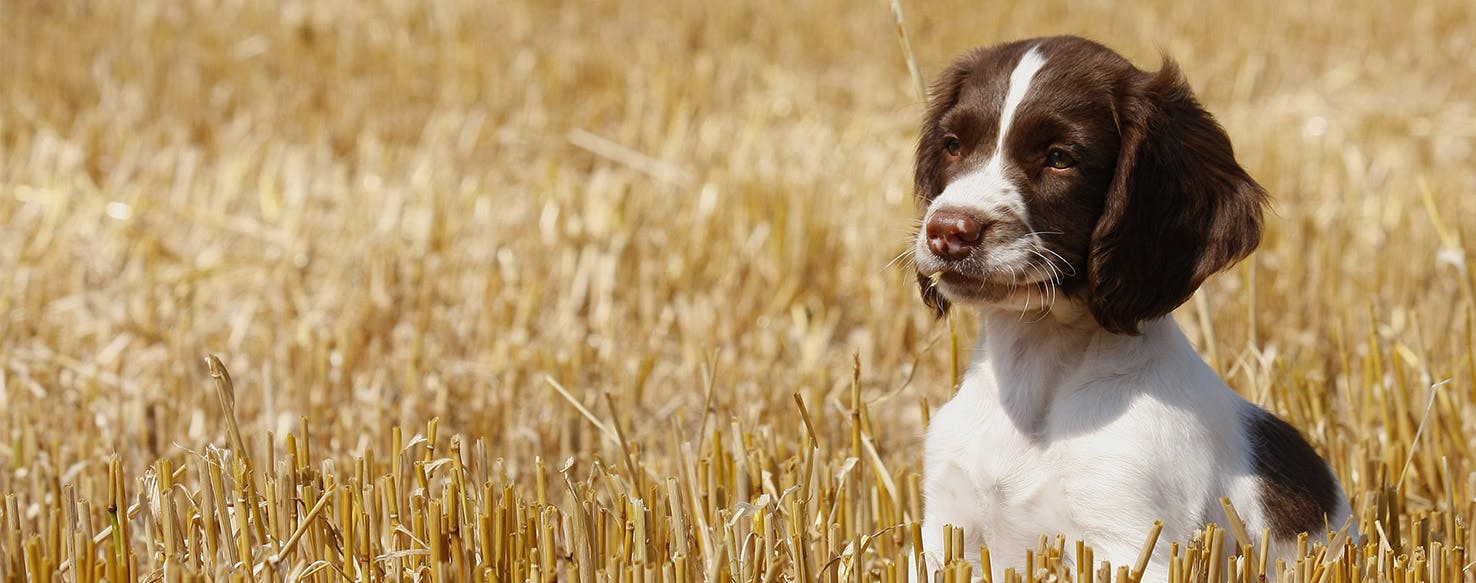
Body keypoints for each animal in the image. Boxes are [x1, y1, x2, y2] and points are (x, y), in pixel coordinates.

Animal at [909, 36, 1352, 578]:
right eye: (953, 145)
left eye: (1060, 157)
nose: (948, 231)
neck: (1036, 372)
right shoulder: (948, 531)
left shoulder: (1129, 540)